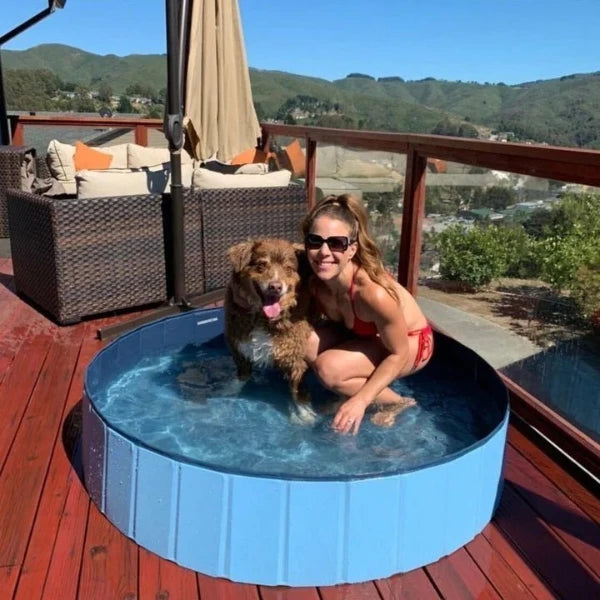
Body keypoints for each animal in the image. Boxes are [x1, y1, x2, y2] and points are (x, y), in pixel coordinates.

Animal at [225, 237, 318, 424]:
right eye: (261, 265)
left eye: (288, 268)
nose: (275, 287)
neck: (262, 318)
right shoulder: (239, 343)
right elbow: (242, 373)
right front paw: (231, 389)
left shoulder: (296, 358)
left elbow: (298, 391)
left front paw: (305, 413)